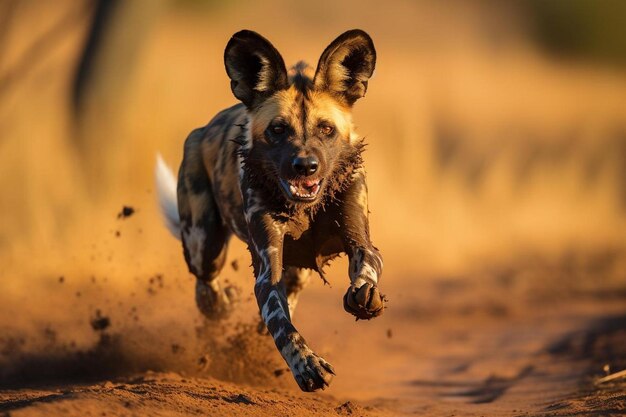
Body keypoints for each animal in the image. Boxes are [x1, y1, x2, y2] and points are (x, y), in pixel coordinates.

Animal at [154, 29, 382, 390]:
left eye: (326, 129)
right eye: (278, 129)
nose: (306, 166)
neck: (305, 210)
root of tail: (202, 130)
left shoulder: (360, 241)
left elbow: (366, 270)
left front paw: (364, 295)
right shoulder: (267, 267)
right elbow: (281, 323)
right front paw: (305, 364)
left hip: (298, 267)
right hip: (206, 246)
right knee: (206, 284)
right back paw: (220, 302)